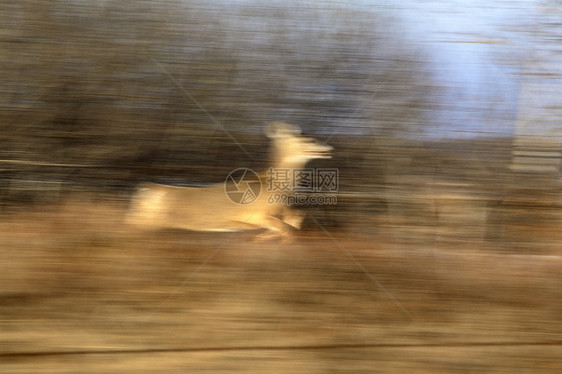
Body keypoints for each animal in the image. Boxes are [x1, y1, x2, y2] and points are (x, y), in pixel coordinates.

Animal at [124, 121, 330, 241]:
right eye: (309, 140)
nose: (328, 147)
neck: (275, 186)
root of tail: (144, 188)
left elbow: (296, 219)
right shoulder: (256, 214)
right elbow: (286, 229)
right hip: (149, 220)